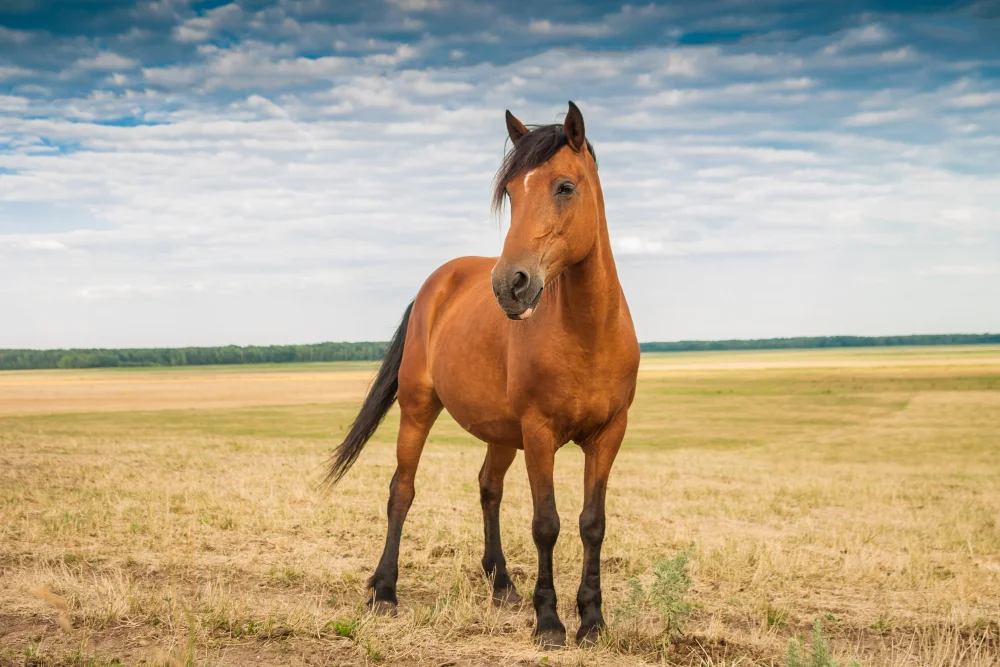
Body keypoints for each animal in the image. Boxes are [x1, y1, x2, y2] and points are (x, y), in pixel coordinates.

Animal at [328, 99, 640, 648]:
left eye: (565, 187)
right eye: (511, 193)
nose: (509, 284)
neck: (588, 331)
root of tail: (437, 282)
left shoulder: (608, 434)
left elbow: (592, 523)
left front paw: (593, 620)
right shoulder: (539, 434)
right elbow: (546, 523)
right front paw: (550, 622)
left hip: (501, 433)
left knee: (488, 487)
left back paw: (502, 585)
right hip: (419, 409)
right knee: (401, 491)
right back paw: (385, 591)